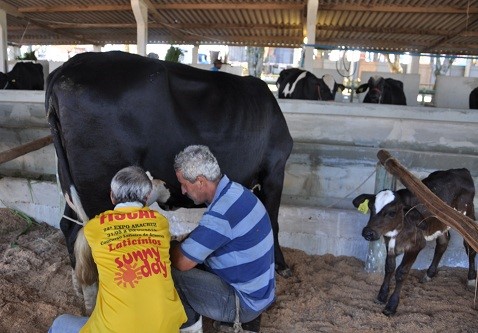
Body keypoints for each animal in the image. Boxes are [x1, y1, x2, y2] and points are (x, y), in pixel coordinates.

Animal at [46, 50, 296, 312]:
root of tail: (68, 68)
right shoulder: (275, 170)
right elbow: (273, 221)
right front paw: (282, 265)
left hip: (73, 187)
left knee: (70, 228)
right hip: (98, 187)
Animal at [352, 167, 476, 316]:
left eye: (392, 212)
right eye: (371, 207)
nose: (368, 232)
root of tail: (461, 170)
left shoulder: (416, 245)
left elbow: (401, 273)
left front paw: (391, 306)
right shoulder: (390, 244)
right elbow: (389, 268)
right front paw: (381, 296)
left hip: (468, 215)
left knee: (470, 248)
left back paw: (471, 279)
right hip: (440, 224)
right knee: (443, 243)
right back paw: (429, 274)